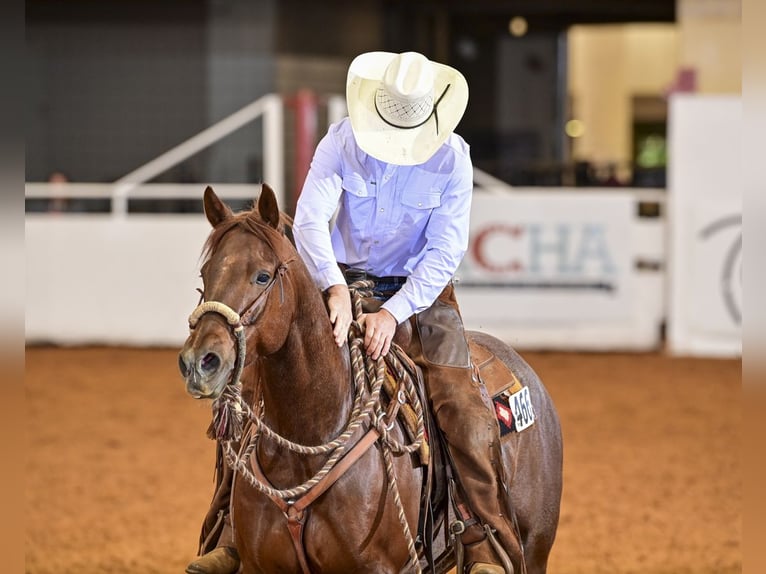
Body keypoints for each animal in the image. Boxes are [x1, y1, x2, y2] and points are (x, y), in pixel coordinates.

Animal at [178, 184, 563, 574]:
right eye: (205, 275)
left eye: (261, 275)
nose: (200, 362)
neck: (308, 439)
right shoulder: (264, 566)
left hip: (535, 547)